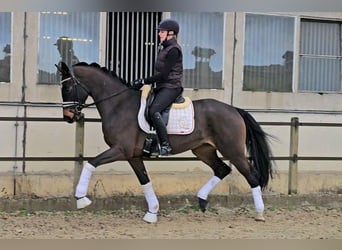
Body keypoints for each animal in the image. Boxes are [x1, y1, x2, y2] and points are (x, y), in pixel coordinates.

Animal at [56, 60, 276, 223]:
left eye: (67, 86)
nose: (68, 117)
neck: (119, 104)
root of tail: (234, 109)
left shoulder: (120, 150)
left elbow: (91, 162)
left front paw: (81, 198)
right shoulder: (133, 155)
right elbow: (144, 180)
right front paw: (152, 213)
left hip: (233, 151)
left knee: (251, 176)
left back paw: (259, 213)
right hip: (203, 149)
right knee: (222, 169)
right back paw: (202, 200)